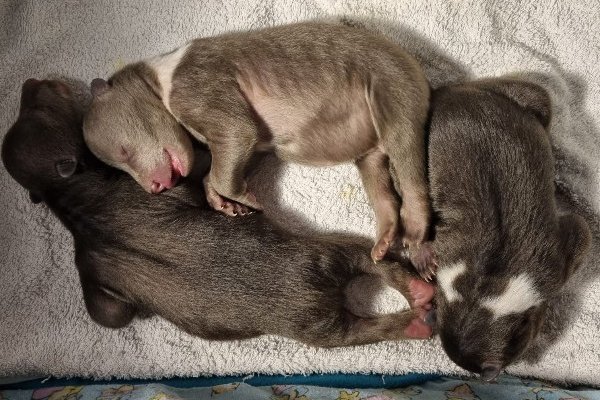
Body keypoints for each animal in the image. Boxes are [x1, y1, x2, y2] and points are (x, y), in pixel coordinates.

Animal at [0, 79, 434, 346]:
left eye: (36, 107)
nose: (31, 82)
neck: (65, 195)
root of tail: (318, 298)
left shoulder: (90, 262)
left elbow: (109, 313)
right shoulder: (157, 186)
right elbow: (201, 169)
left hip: (324, 302)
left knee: (366, 296)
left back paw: (415, 298)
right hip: (325, 272)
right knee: (365, 288)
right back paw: (416, 301)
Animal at [81, 20, 436, 276]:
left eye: (124, 153)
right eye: (120, 164)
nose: (156, 187)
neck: (161, 79)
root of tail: (415, 64)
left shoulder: (200, 87)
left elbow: (235, 134)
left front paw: (248, 199)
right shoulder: (253, 145)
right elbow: (234, 158)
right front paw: (226, 204)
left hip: (390, 87)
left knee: (409, 168)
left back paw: (418, 242)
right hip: (369, 151)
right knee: (382, 187)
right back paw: (384, 241)